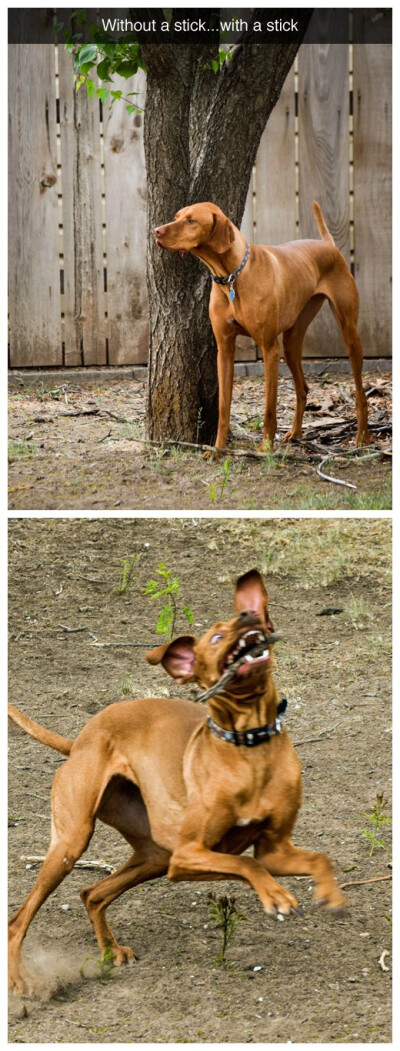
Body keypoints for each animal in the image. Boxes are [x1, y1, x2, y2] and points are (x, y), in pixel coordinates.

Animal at [7, 571, 344, 996]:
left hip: (153, 854)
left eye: (248, 616)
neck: (249, 748)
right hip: (73, 843)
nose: (249, 615)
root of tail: (79, 741)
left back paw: (109, 952)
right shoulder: (189, 855)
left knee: (92, 893)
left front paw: (330, 894)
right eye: (216, 637)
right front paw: (275, 895)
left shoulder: (275, 850)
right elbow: (245, 863)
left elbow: (317, 858)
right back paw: (20, 979)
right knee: (17, 920)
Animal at [154, 200, 369, 451]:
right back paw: (296, 433)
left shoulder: (269, 348)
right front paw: (217, 450)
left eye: (191, 220)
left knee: (361, 394)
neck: (232, 276)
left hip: (349, 332)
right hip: (291, 341)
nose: (156, 231)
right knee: (302, 388)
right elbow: (224, 408)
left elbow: (269, 409)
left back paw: (362, 438)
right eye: (176, 216)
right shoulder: (224, 350)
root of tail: (328, 245)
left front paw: (265, 448)